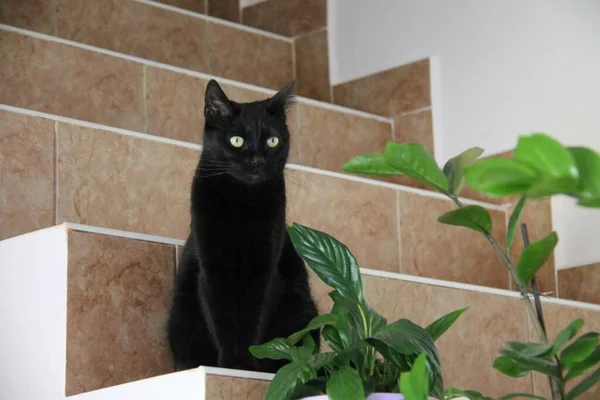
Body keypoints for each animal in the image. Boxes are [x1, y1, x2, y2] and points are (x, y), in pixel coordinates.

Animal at [166, 79, 322, 374]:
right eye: (236, 140)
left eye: (273, 141)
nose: (258, 161)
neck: (242, 204)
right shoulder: (212, 270)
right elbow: (222, 321)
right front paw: (230, 366)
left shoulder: (265, 270)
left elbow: (253, 321)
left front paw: (247, 366)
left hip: (302, 312)